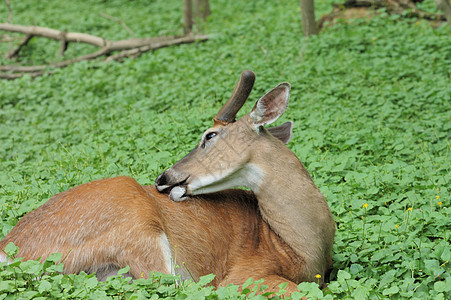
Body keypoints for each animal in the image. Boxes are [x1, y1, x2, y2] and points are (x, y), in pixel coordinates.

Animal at [0, 71, 336, 296]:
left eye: (209, 136)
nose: (163, 178)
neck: (296, 247)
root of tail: (9, 251)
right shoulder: (245, 274)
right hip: (141, 234)